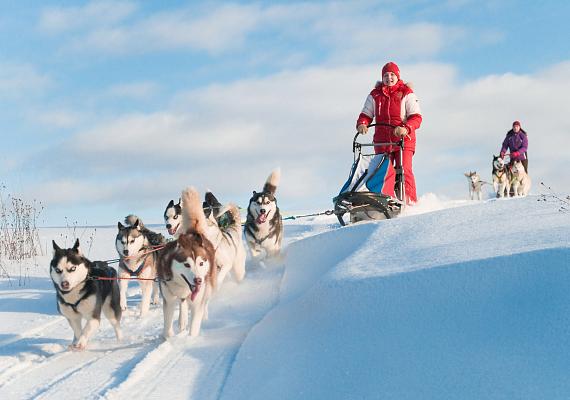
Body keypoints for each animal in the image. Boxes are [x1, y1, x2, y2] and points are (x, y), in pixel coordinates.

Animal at [158, 188, 217, 338]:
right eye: (186, 265)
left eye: (201, 264)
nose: (198, 281)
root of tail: (193, 232)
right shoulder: (169, 300)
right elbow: (167, 329)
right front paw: (170, 338)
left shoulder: (197, 301)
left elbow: (194, 326)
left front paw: (189, 340)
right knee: (183, 303)